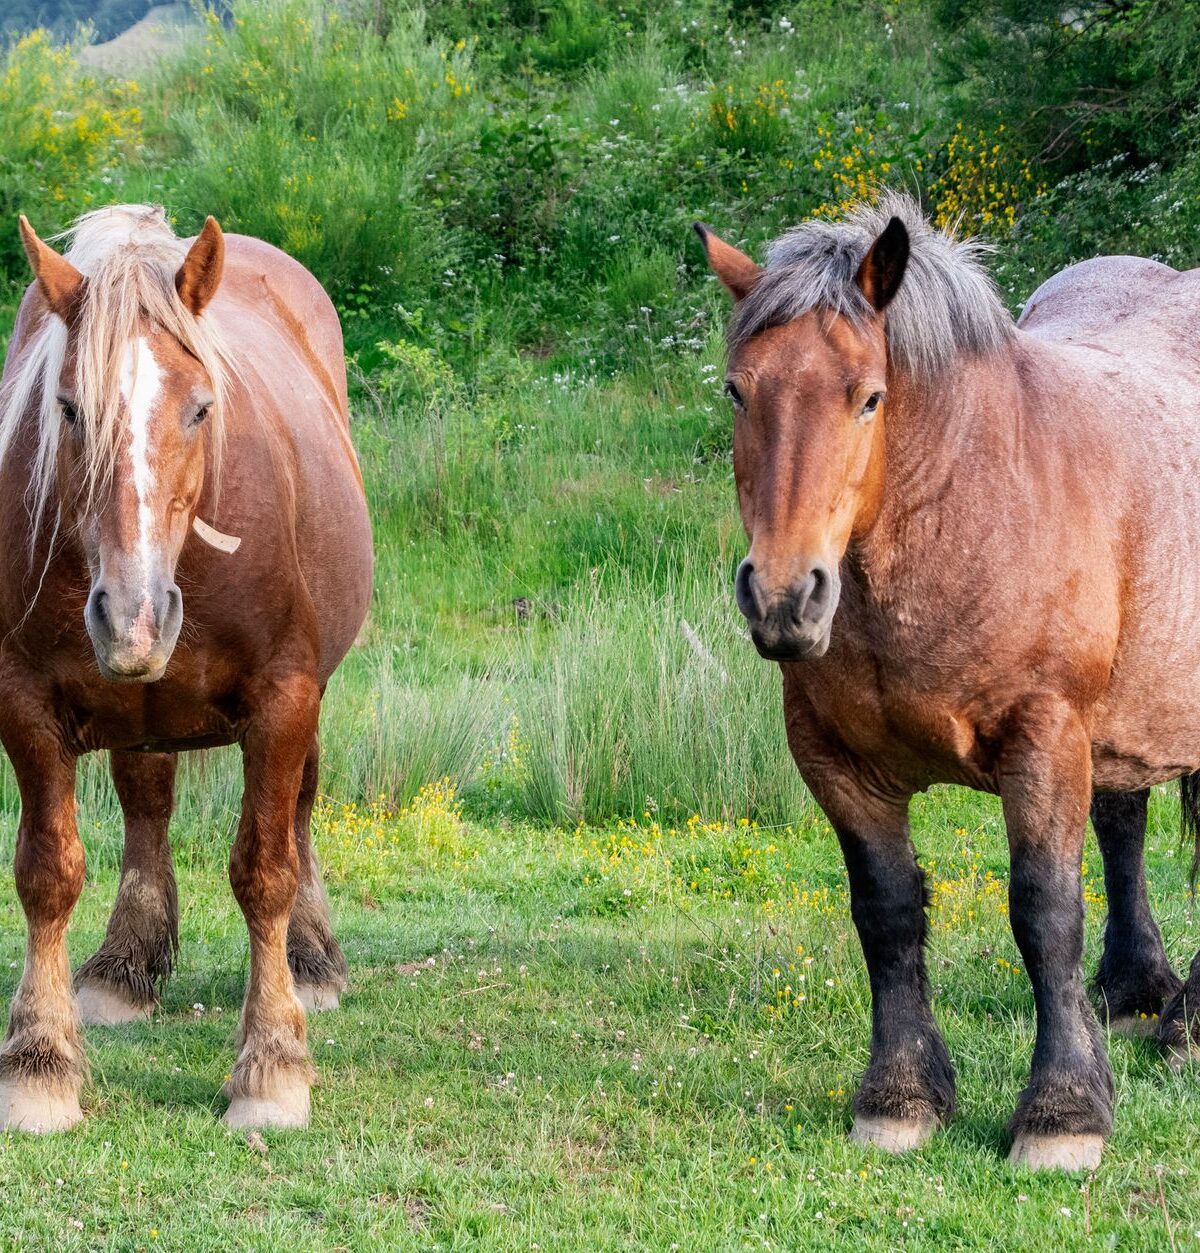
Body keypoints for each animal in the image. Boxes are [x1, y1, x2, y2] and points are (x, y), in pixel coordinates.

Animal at [0, 205, 373, 1132]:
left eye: (201, 408)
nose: (132, 612)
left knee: (300, 809)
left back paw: (312, 960)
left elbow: (264, 871)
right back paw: (125, 964)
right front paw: (39, 1063)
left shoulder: (285, 698)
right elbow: (47, 873)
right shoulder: (22, 701)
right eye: (67, 408)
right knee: (147, 803)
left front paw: (271, 1064)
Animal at [696, 191, 1200, 1172]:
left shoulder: (1045, 739)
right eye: (739, 390)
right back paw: (1138, 992)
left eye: (869, 397)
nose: (784, 595)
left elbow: (1045, 912)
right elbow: (888, 913)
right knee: (1126, 820)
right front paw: (899, 1098)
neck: (969, 504)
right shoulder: (835, 759)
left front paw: (1062, 1112)